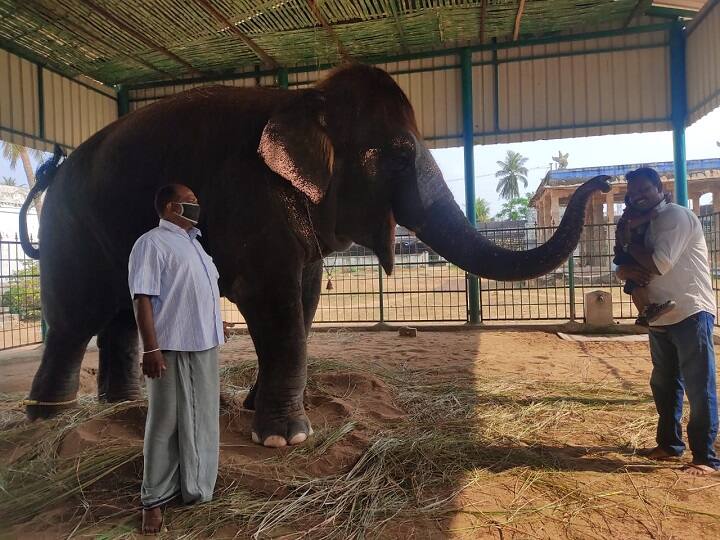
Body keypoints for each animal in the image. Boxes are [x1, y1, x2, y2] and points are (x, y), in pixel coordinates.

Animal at [21, 63, 608, 448]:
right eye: (399, 153)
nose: (603, 180)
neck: (306, 98)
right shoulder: (252, 199)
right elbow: (274, 301)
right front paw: (285, 440)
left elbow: (303, 299)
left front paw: (256, 411)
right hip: (68, 232)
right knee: (75, 318)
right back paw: (49, 416)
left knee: (120, 312)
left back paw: (122, 405)